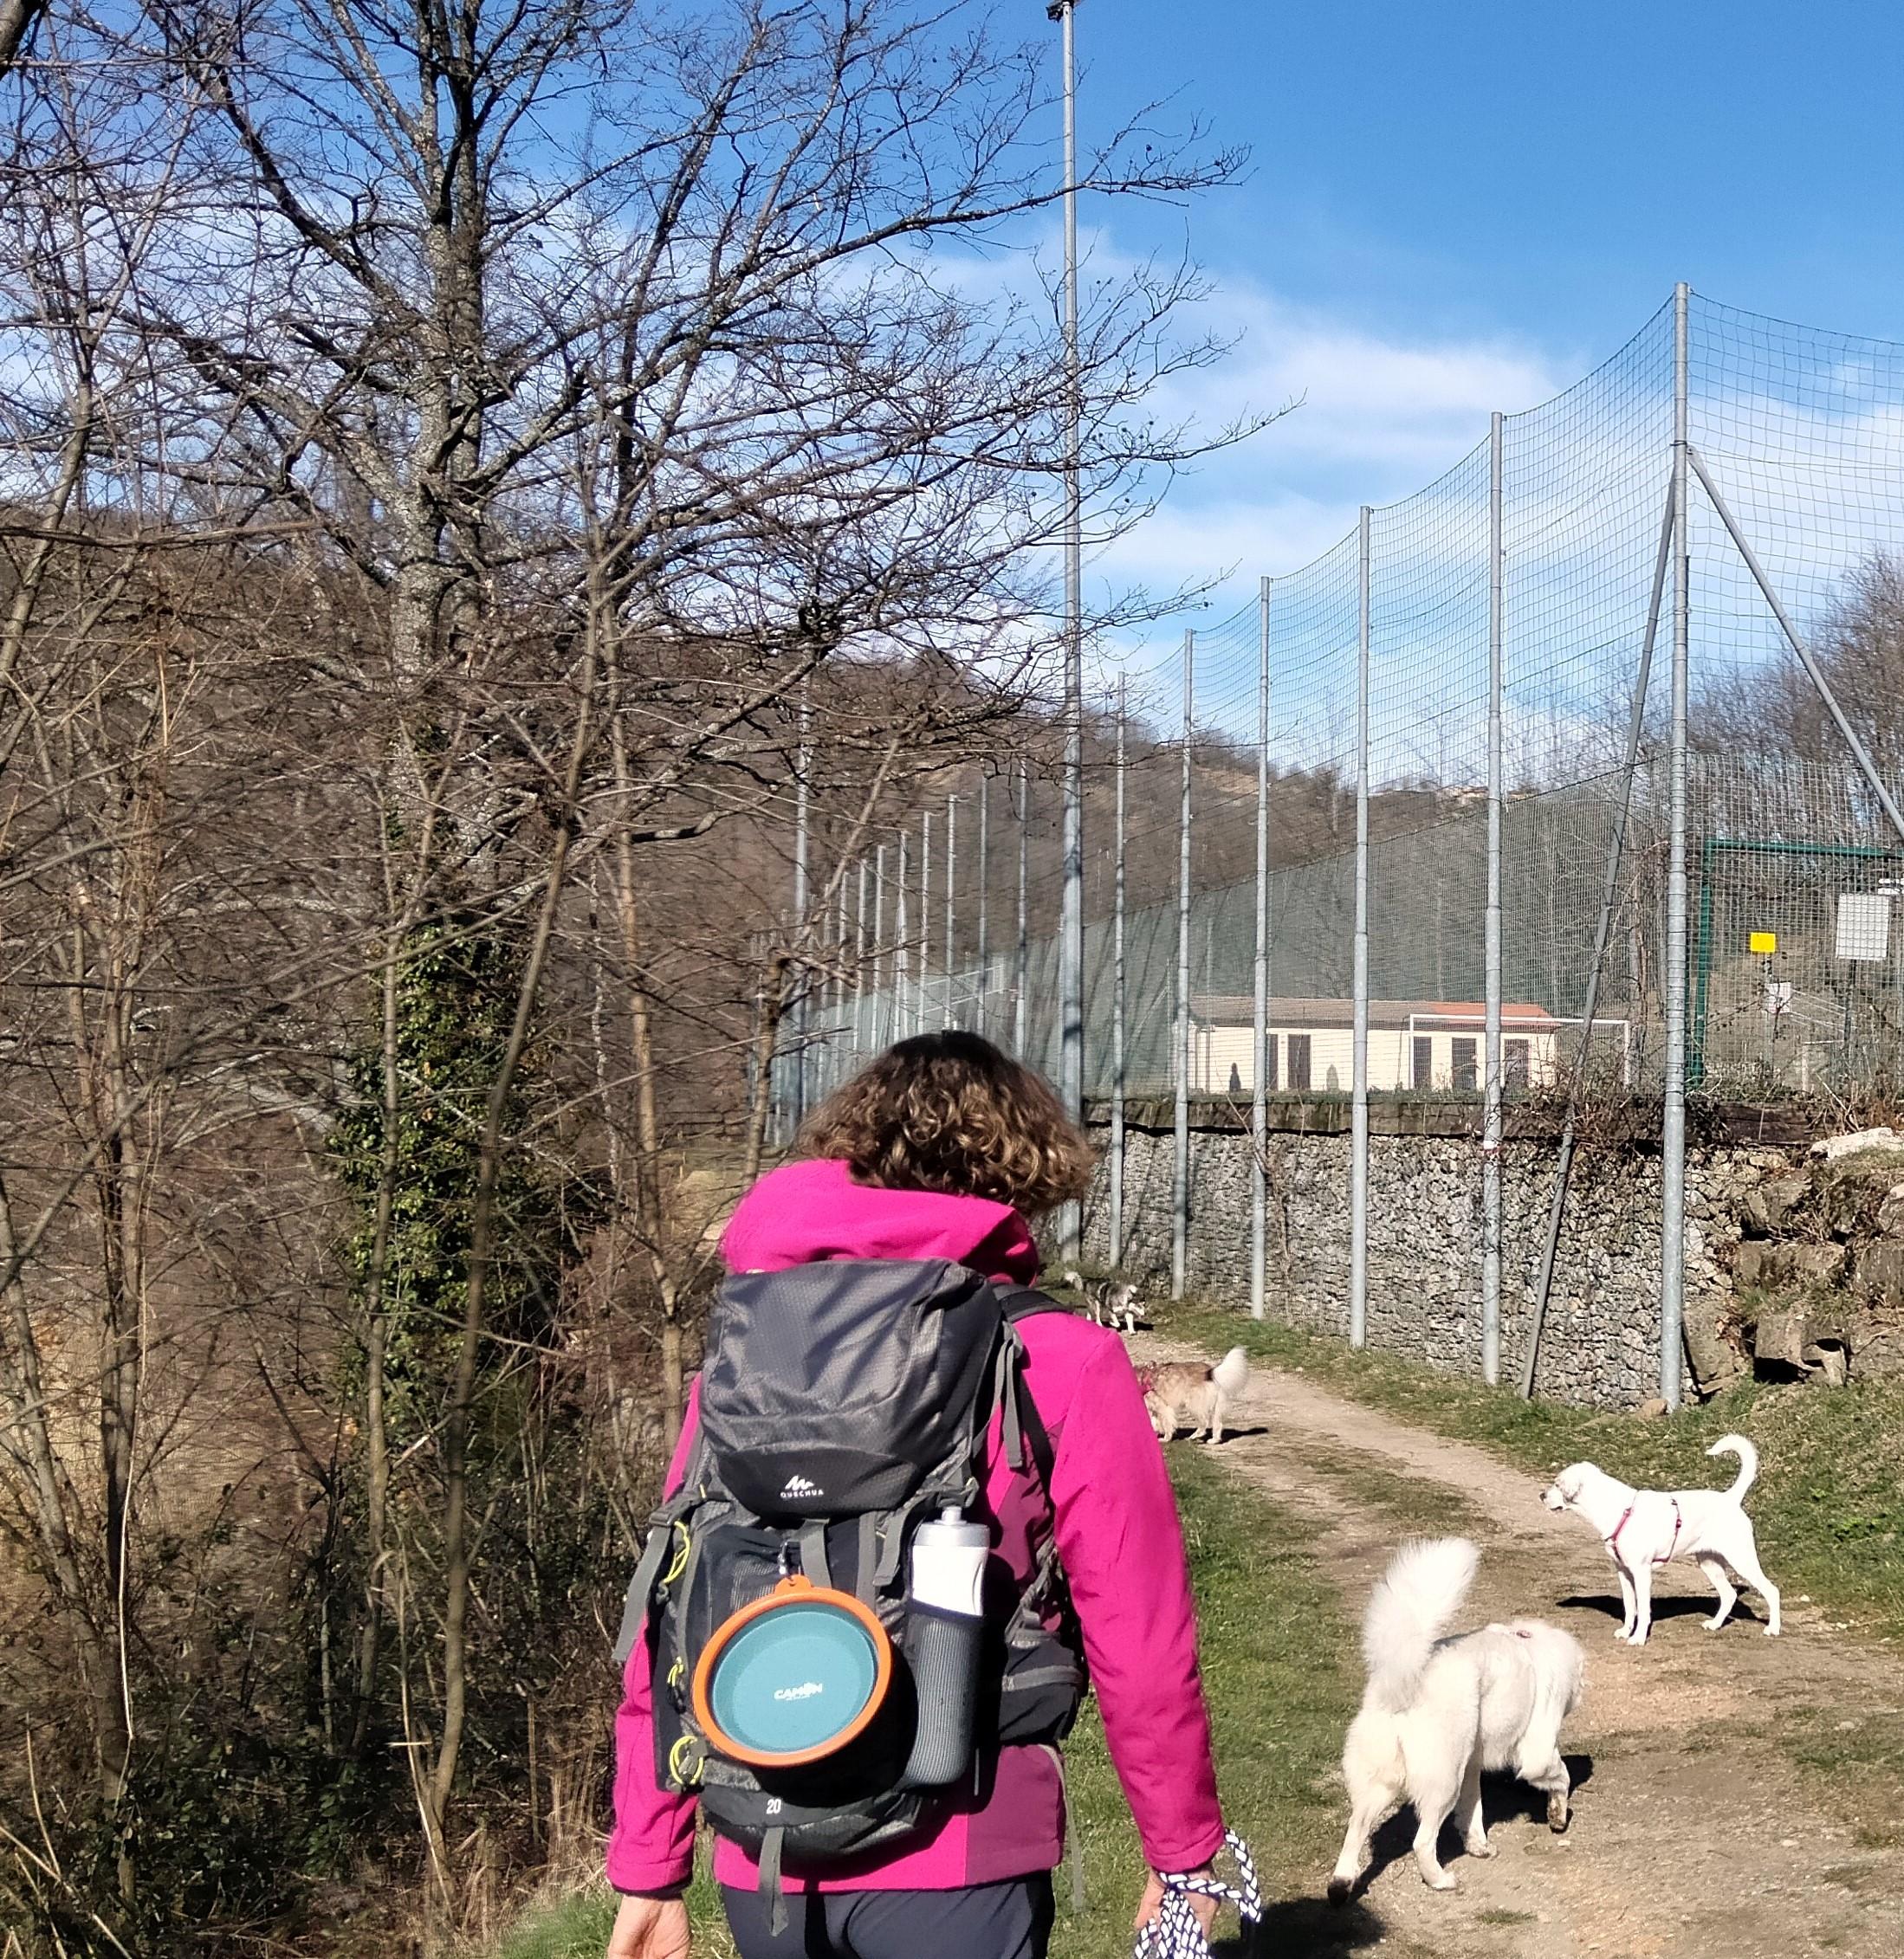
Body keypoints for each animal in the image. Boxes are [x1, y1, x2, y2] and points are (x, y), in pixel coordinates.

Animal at [1331, 1536, 1583, 1904]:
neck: (1529, 1644)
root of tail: (1403, 1685)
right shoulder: (1536, 1752)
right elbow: (1561, 1777)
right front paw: (1557, 1816)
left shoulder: (1471, 1764)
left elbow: (1472, 1809)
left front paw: (1478, 1845)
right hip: (1441, 1783)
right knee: (1422, 1842)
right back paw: (1439, 1880)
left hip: (1379, 1784)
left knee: (1355, 1831)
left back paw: (1340, 1885)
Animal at [1535, 1433, 1778, 1645]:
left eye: (1557, 1484)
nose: (1541, 1496)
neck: (1621, 1510)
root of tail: (1730, 1499)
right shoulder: (1623, 1572)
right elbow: (1629, 1607)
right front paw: (1626, 1632)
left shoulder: (1642, 1573)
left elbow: (1643, 1610)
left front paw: (1638, 1638)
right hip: (1709, 1563)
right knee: (1729, 1595)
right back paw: (1715, 1625)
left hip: (1742, 1560)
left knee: (1771, 1591)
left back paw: (1773, 1628)